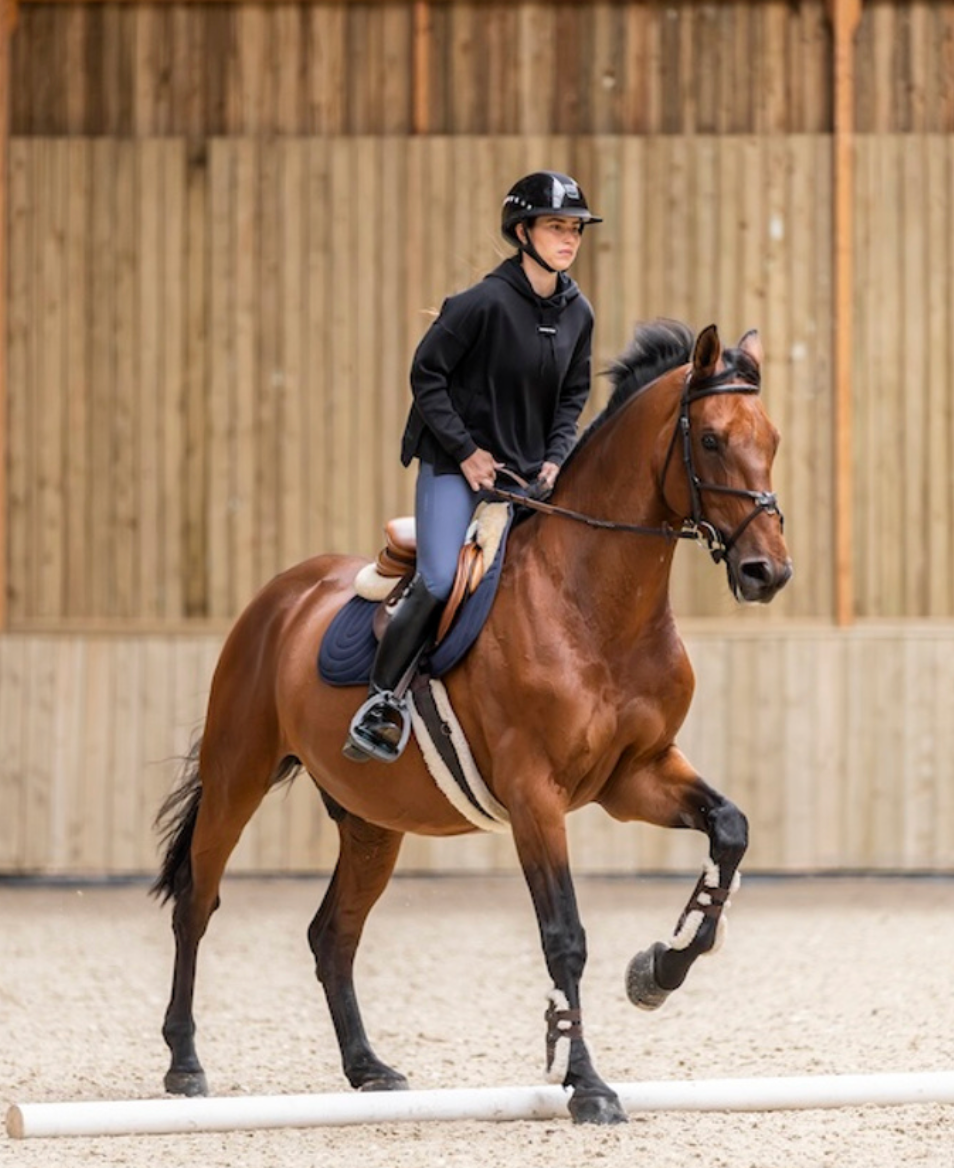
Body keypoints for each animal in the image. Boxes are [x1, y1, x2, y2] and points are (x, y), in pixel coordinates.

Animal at [151, 320, 792, 1125]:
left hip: (372, 822)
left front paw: (658, 970)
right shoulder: (534, 796)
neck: (593, 605)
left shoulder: (635, 775)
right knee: (197, 905)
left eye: (771, 439)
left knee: (333, 934)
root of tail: (280, 595)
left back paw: (367, 1068)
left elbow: (730, 831)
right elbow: (564, 936)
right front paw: (588, 1086)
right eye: (709, 440)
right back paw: (184, 1064)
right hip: (238, 775)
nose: (768, 573)